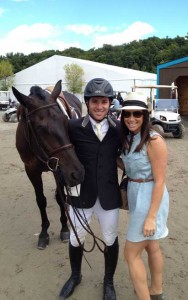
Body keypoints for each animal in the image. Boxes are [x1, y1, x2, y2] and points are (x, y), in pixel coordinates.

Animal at [12, 81, 85, 250]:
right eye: (40, 128)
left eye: (65, 121)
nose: (78, 173)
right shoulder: (31, 169)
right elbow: (40, 200)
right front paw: (44, 233)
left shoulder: (59, 169)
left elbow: (60, 197)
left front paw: (64, 229)